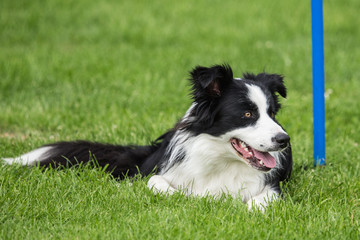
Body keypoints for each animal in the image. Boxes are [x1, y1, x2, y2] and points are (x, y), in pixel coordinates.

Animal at [3, 64, 292, 211]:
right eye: (247, 114)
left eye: (272, 113)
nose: (283, 140)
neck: (220, 161)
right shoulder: (156, 174)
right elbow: (157, 183)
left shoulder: (274, 187)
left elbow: (261, 200)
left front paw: (249, 211)